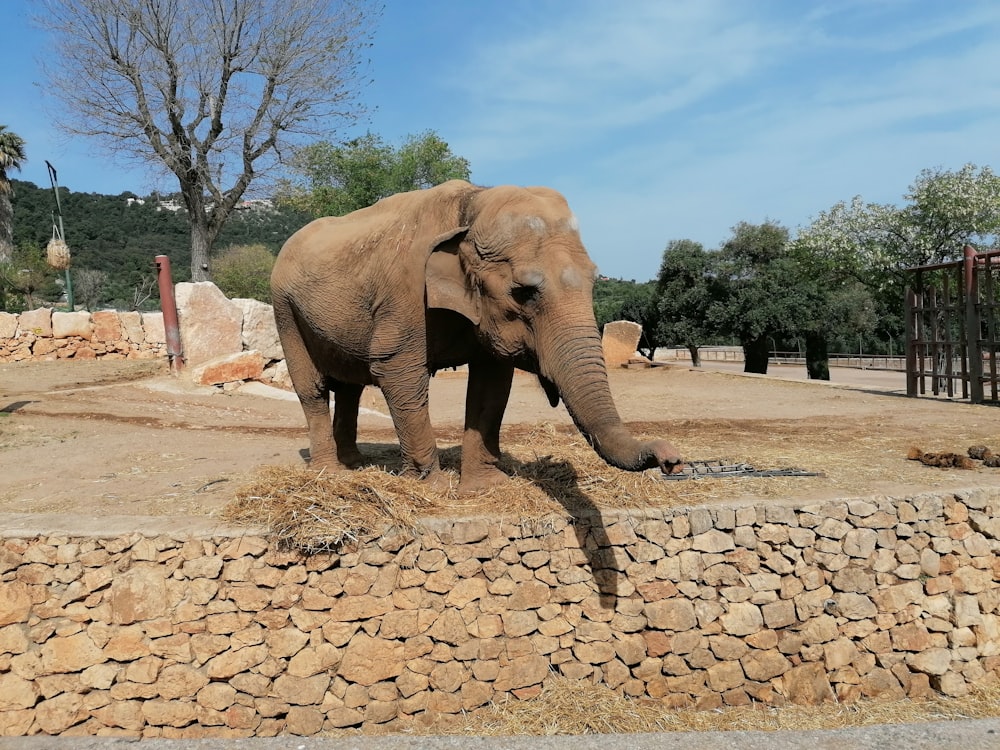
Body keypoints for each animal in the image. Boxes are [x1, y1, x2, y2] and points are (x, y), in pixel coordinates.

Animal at [270, 179, 684, 490]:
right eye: (523, 292)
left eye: (596, 282)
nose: (672, 459)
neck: (474, 204)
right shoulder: (404, 294)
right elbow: (396, 370)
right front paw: (432, 488)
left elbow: (492, 382)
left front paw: (485, 486)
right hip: (284, 308)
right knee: (313, 388)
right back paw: (330, 472)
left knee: (350, 388)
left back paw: (354, 462)